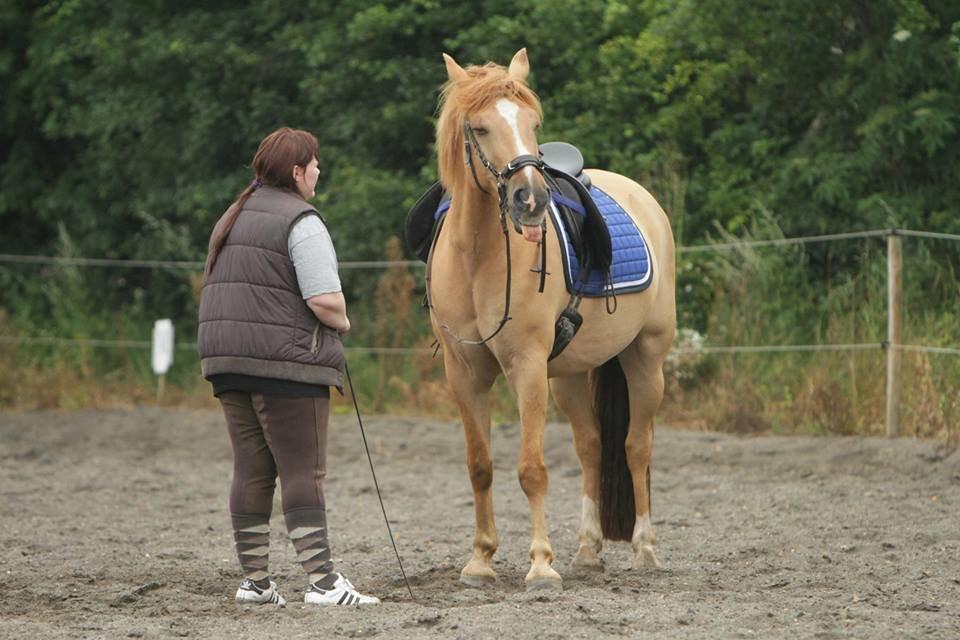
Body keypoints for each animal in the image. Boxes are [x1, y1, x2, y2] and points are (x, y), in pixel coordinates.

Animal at [428, 48, 676, 592]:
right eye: (479, 128)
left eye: (532, 123)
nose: (531, 199)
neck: (478, 256)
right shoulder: (463, 372)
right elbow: (480, 466)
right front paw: (480, 560)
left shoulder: (526, 366)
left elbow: (532, 469)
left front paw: (541, 564)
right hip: (569, 375)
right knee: (591, 447)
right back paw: (587, 551)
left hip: (645, 358)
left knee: (637, 447)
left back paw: (646, 550)